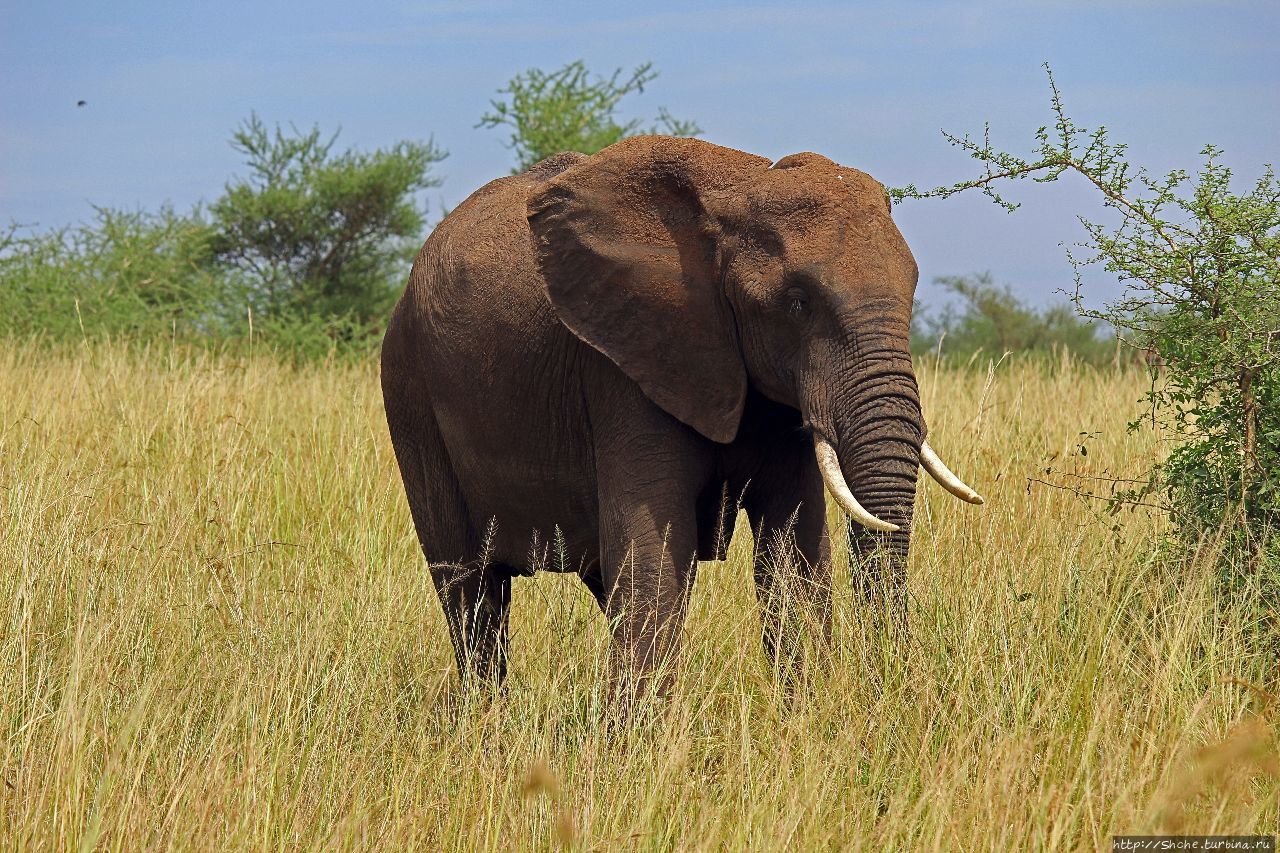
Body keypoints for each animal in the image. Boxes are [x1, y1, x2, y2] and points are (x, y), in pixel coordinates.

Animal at [378, 136, 977, 701]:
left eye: (913, 290)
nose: (893, 683)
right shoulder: (627, 363)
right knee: (470, 591)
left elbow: (791, 554)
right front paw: (637, 736)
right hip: (410, 391)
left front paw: (810, 712)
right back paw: (487, 719)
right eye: (797, 303)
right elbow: (654, 551)